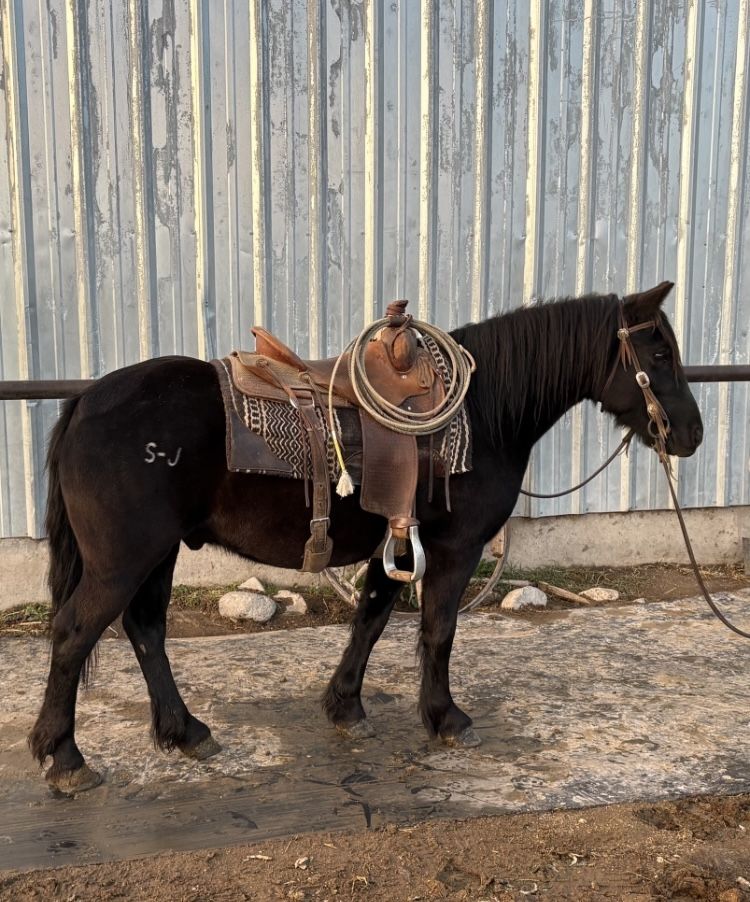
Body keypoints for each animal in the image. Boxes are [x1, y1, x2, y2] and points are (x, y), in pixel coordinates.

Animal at [28, 281, 703, 793]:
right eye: (659, 355)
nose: (692, 434)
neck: (484, 413)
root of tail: (85, 400)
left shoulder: (397, 544)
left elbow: (372, 618)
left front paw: (346, 707)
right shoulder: (455, 549)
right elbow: (438, 632)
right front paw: (445, 718)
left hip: (158, 552)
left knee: (145, 630)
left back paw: (185, 731)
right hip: (125, 557)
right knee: (75, 633)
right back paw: (65, 758)